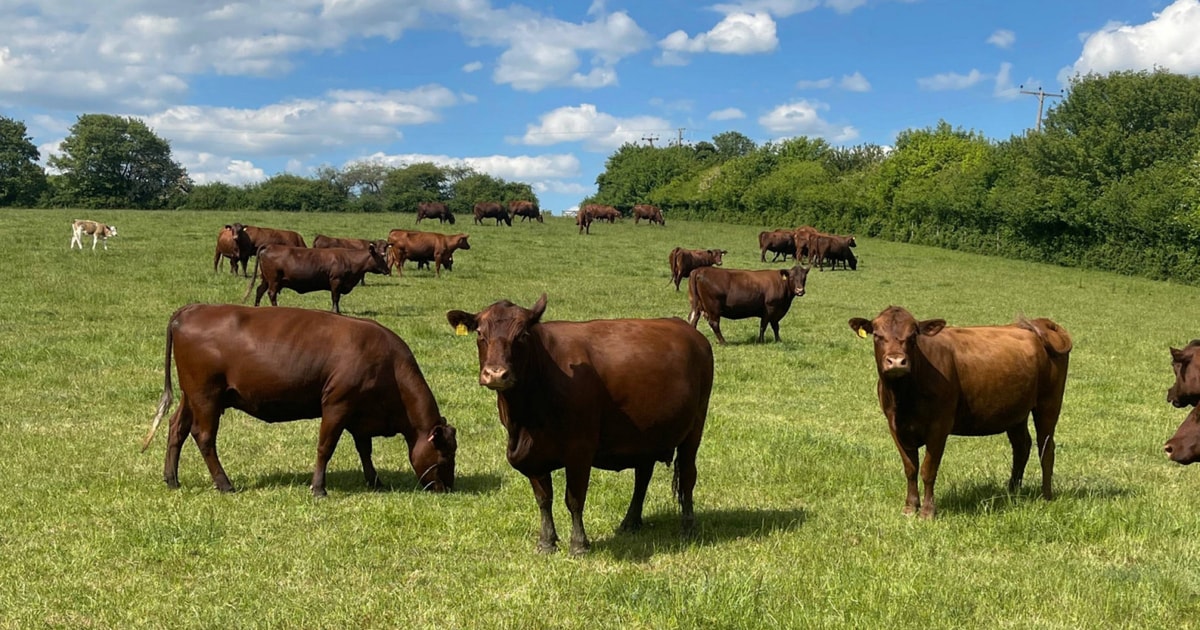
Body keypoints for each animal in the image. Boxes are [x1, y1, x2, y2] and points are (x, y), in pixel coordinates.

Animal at [140, 304, 458, 497]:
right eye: (445, 455)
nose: (448, 488)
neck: (389, 365)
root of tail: (192, 309)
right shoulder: (337, 405)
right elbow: (325, 447)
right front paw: (318, 488)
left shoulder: (360, 413)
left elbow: (364, 450)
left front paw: (375, 481)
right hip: (206, 395)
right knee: (204, 436)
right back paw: (224, 483)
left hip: (191, 395)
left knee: (177, 428)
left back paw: (172, 479)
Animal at [243, 243, 391, 314]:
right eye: (380, 257)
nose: (388, 270)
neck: (349, 260)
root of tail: (269, 246)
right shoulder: (336, 281)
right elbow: (335, 298)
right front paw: (336, 311)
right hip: (274, 280)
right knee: (271, 293)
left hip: (265, 279)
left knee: (259, 290)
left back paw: (256, 307)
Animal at [446, 294, 713, 555]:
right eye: (480, 334)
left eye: (522, 335)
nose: (496, 374)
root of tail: (689, 331)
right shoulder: (532, 453)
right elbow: (544, 498)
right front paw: (546, 542)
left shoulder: (580, 449)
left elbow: (574, 499)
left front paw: (579, 544)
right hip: (646, 435)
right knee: (643, 476)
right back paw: (630, 522)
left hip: (695, 426)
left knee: (687, 475)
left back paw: (687, 527)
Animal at [848, 306, 1072, 519]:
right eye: (877, 335)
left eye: (913, 336)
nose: (896, 361)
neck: (903, 398)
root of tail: (1035, 324)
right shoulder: (895, 426)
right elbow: (910, 468)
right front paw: (910, 507)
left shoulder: (939, 426)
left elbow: (928, 470)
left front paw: (928, 511)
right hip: (1015, 412)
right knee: (1022, 446)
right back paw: (1011, 492)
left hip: (1049, 403)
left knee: (1046, 448)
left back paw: (1046, 496)